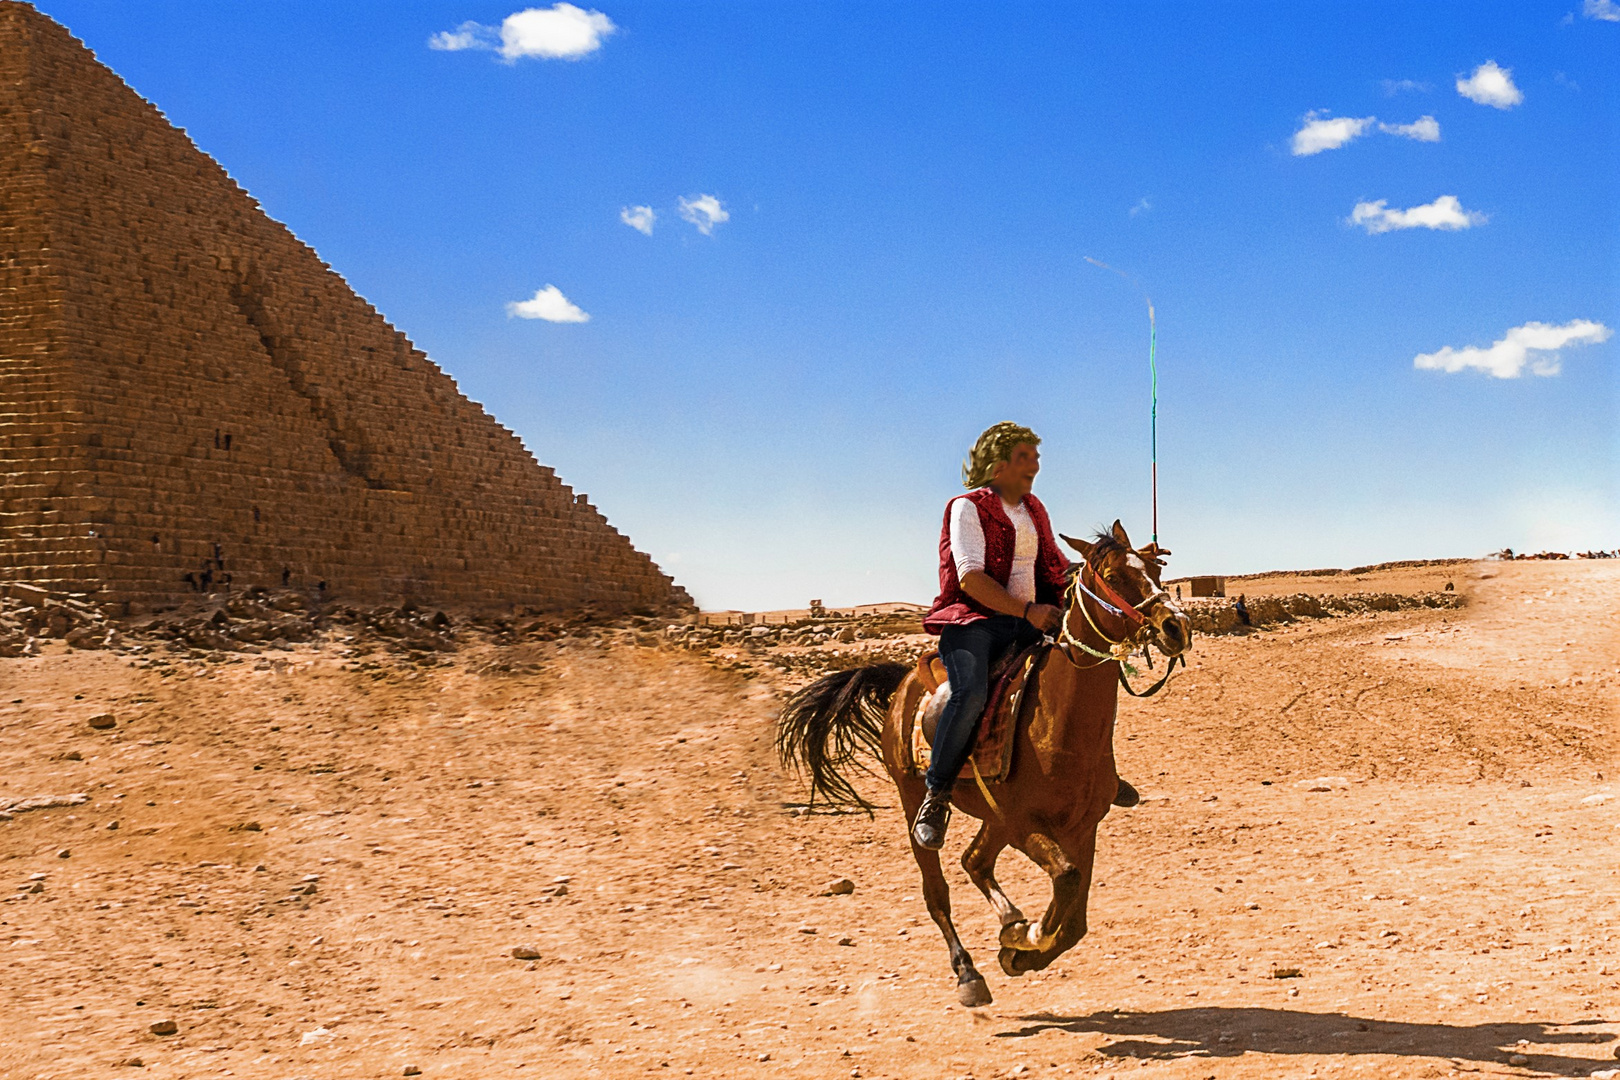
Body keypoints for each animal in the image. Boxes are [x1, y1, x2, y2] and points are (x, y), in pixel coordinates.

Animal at [771, 518, 1192, 1010]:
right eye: (1111, 574)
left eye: (1155, 570)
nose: (1176, 626)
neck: (1058, 728)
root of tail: (902, 684)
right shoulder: (1021, 822)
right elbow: (1065, 882)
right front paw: (1027, 937)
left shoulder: (1082, 827)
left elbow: (1074, 920)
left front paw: (1020, 947)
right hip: (917, 801)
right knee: (937, 891)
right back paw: (968, 972)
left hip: (991, 817)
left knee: (974, 861)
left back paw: (1009, 924)